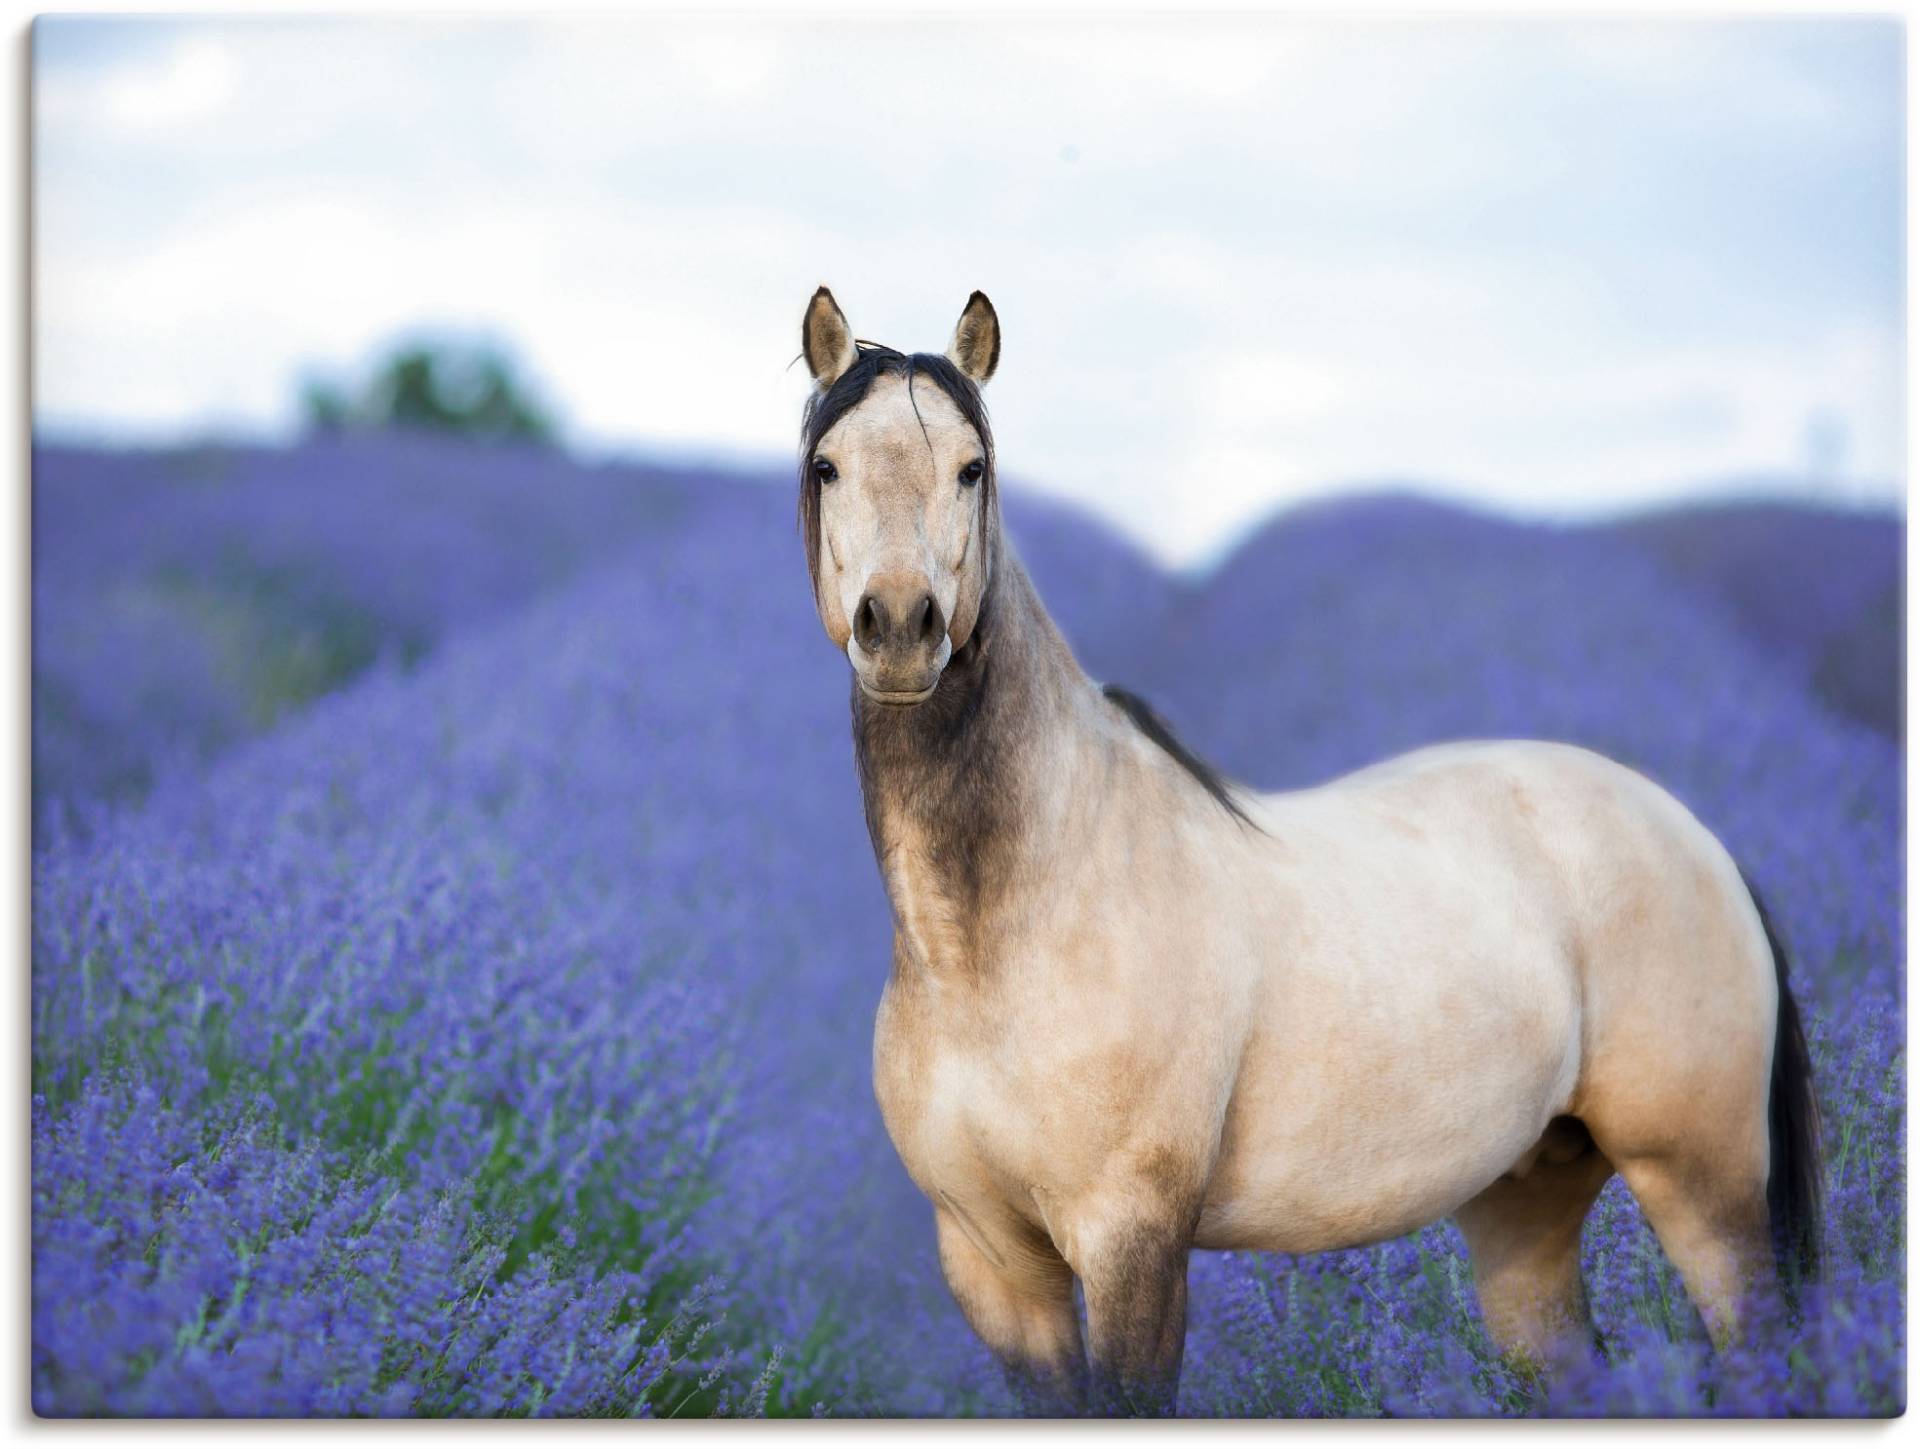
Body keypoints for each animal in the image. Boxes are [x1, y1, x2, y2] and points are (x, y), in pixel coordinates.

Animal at [787, 285, 1820, 1420]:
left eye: (973, 466)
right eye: (827, 465)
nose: (899, 628)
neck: (1001, 936)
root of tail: (1698, 840)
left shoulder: (1132, 1241)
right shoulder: (993, 1265)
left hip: (1704, 1188)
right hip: (1527, 1207)